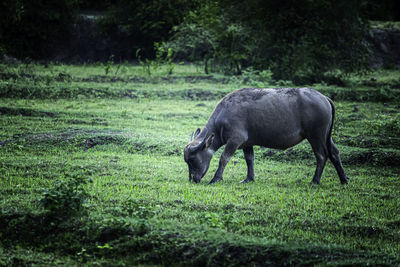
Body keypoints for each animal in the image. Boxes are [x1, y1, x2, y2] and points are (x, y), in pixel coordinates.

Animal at [183, 88, 348, 186]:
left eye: (192, 160)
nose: (193, 179)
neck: (222, 118)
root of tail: (324, 98)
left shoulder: (235, 140)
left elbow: (224, 158)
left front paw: (215, 178)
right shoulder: (247, 143)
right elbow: (250, 159)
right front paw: (249, 179)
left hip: (316, 135)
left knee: (321, 155)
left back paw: (314, 181)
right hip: (327, 136)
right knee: (334, 153)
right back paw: (344, 179)